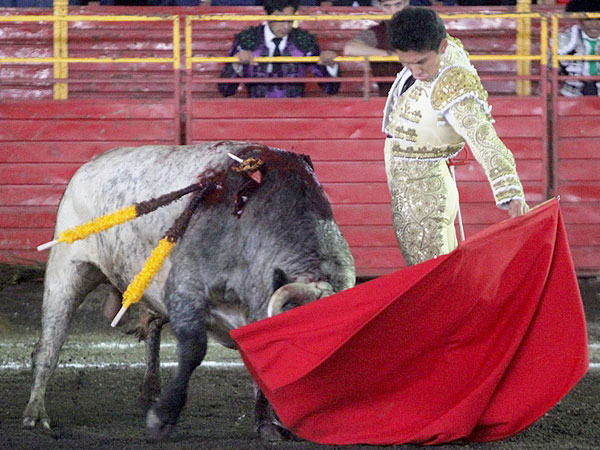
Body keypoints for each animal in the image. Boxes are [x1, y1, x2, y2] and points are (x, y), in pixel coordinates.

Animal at [22, 141, 355, 441]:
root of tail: (88, 167)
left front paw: (268, 424)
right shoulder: (185, 291)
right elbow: (194, 350)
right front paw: (163, 417)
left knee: (152, 328)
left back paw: (149, 392)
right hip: (67, 271)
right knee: (49, 345)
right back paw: (36, 412)